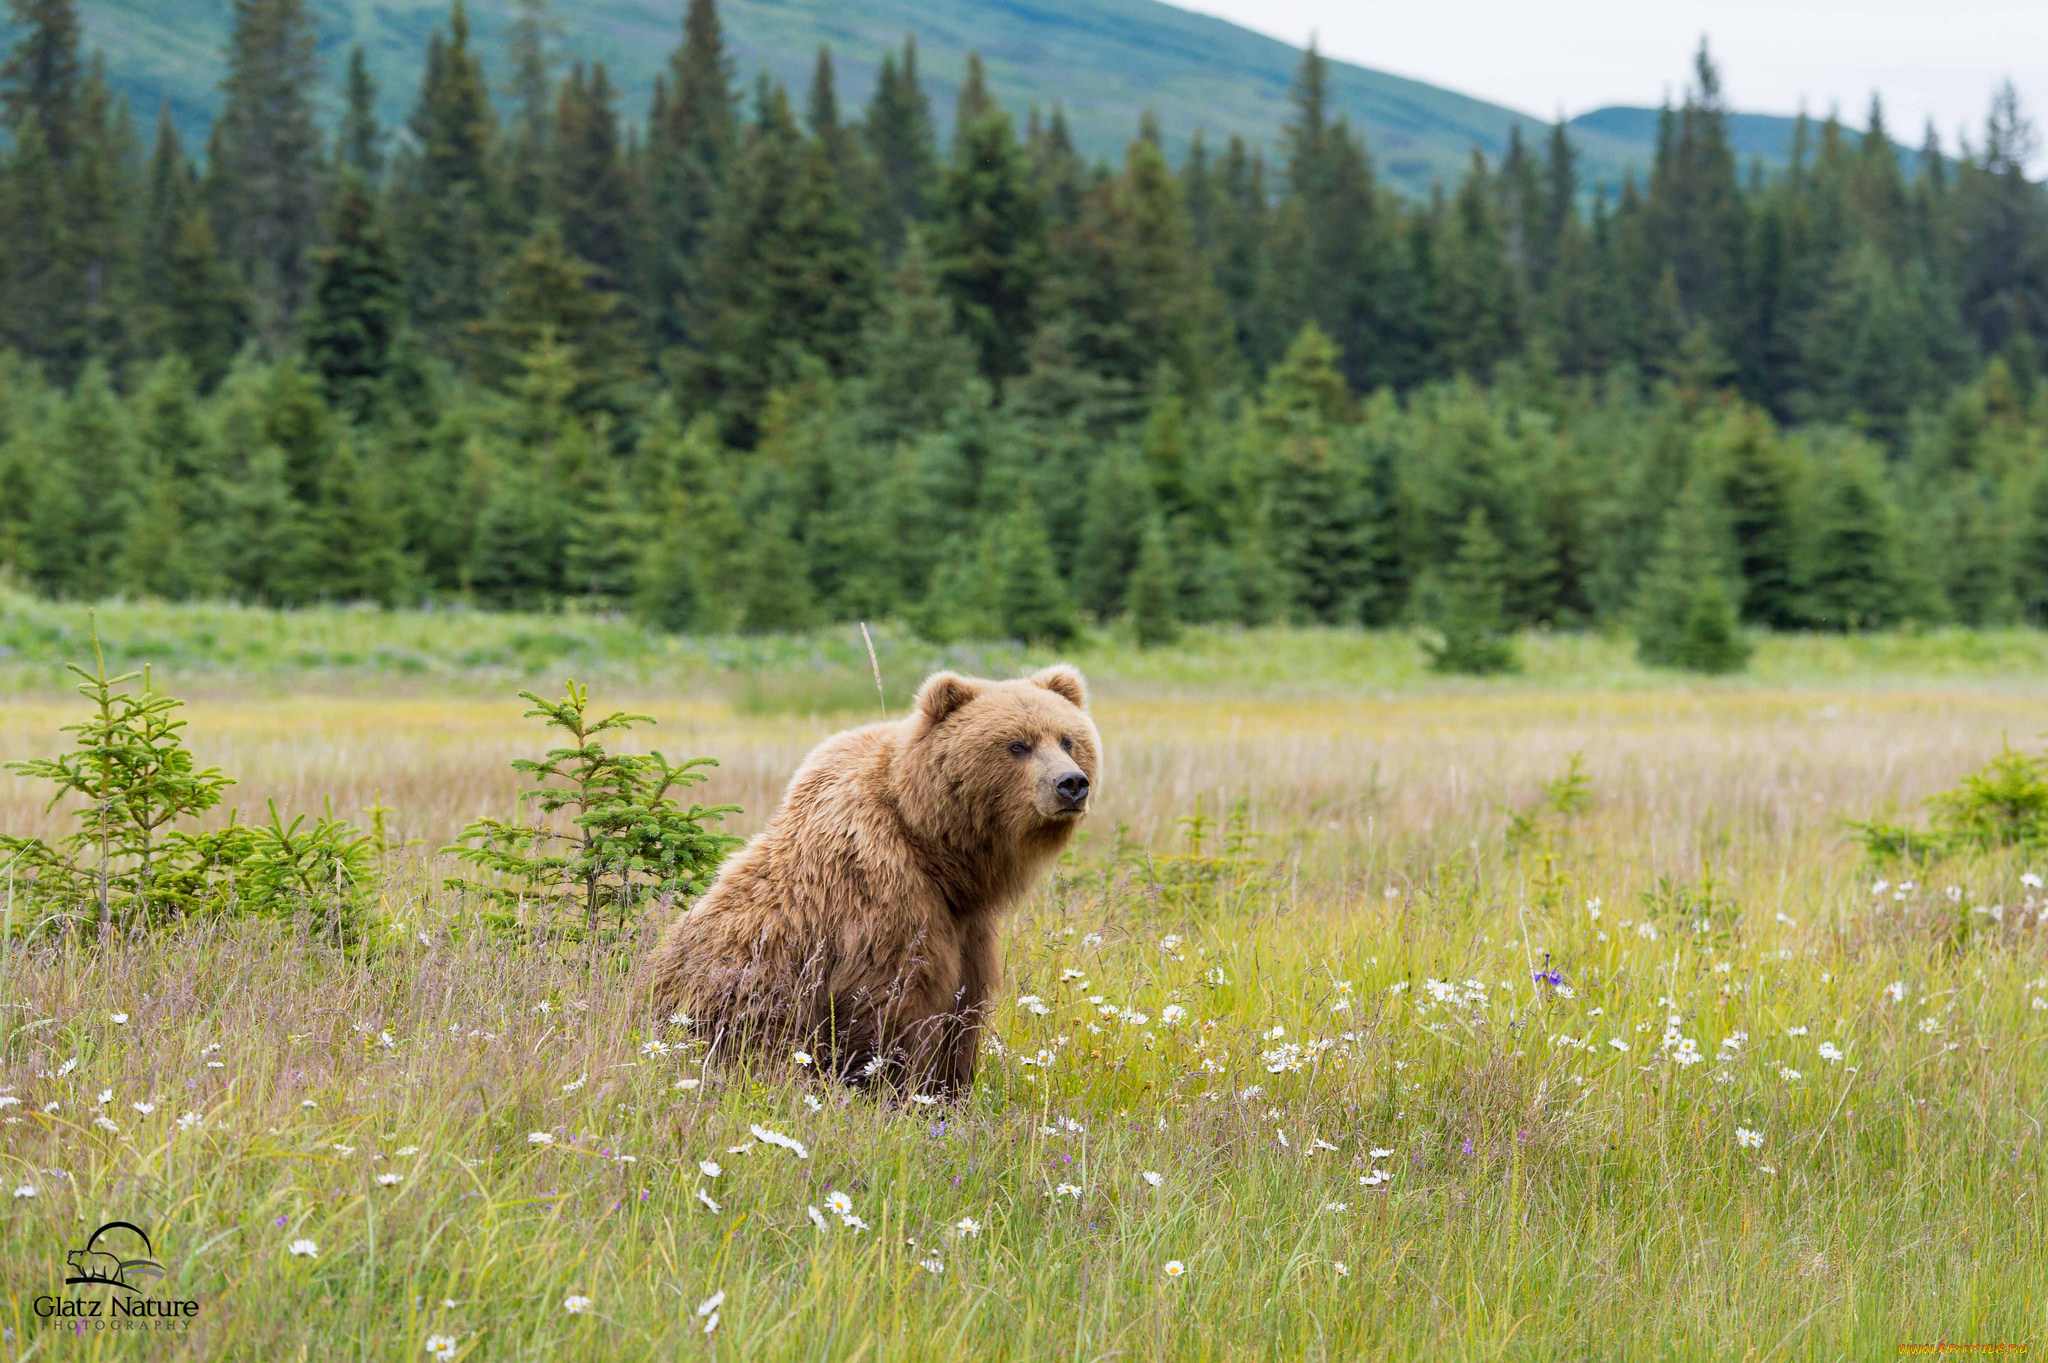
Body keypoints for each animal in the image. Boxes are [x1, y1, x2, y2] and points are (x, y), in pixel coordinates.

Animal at [643, 663, 1097, 1088]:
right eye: (1017, 744)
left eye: (1067, 739)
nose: (1071, 783)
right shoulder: (881, 891)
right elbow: (894, 1003)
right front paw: (893, 1087)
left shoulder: (968, 927)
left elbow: (964, 1009)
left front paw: (950, 1091)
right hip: (731, 1003)